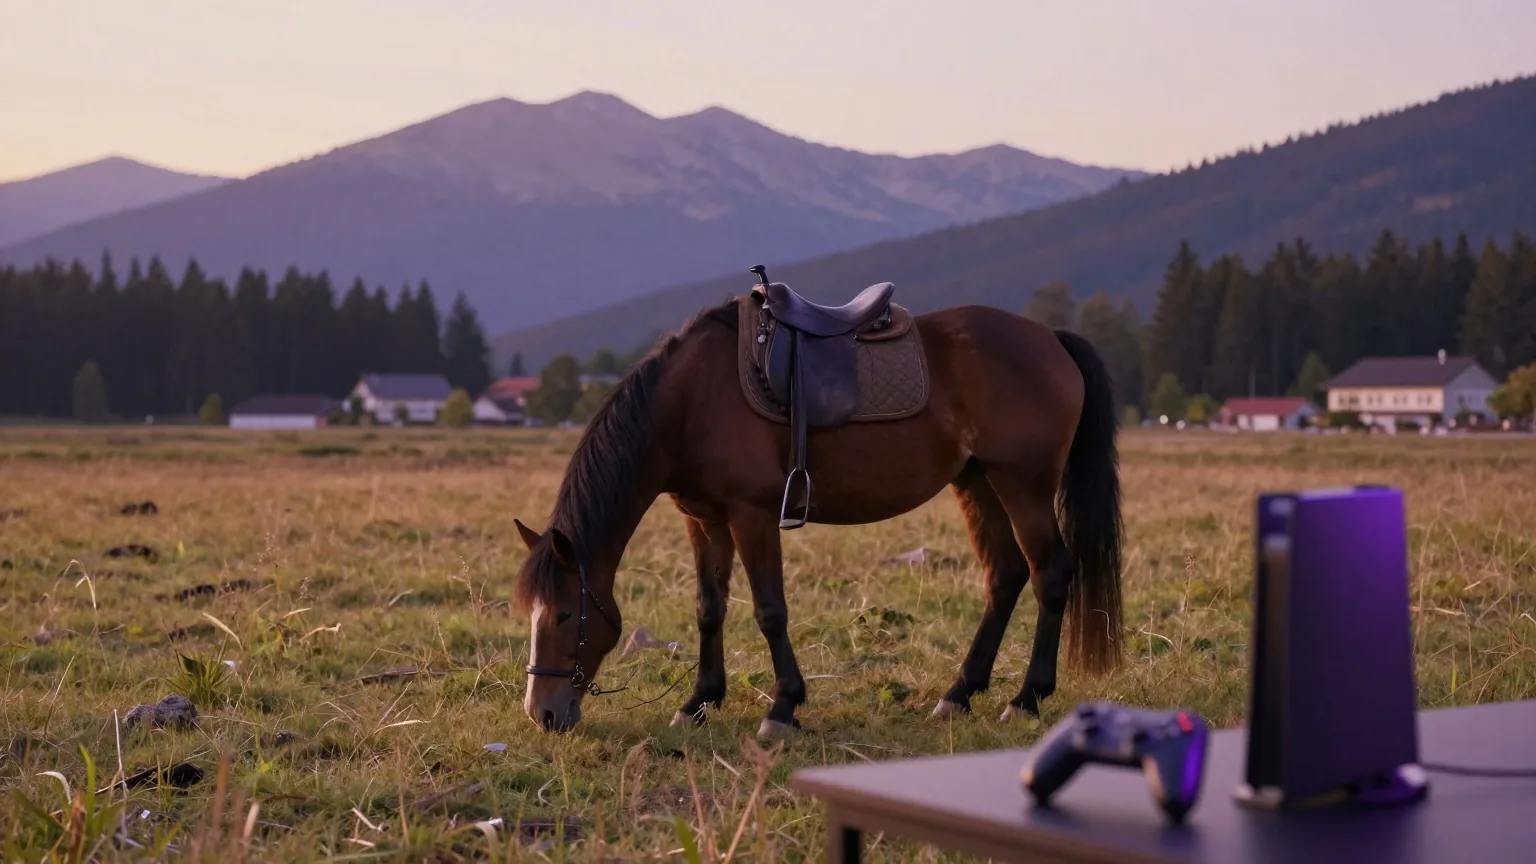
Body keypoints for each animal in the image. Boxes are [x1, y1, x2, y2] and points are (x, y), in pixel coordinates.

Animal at [513, 280, 1125, 737]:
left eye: (564, 614)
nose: (543, 713)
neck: (687, 404)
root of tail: (1050, 337)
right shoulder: (704, 519)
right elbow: (709, 609)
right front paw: (698, 703)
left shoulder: (752, 515)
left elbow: (770, 611)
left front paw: (783, 708)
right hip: (978, 483)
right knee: (1005, 575)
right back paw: (960, 693)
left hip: (1023, 484)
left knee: (1050, 573)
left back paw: (1027, 698)